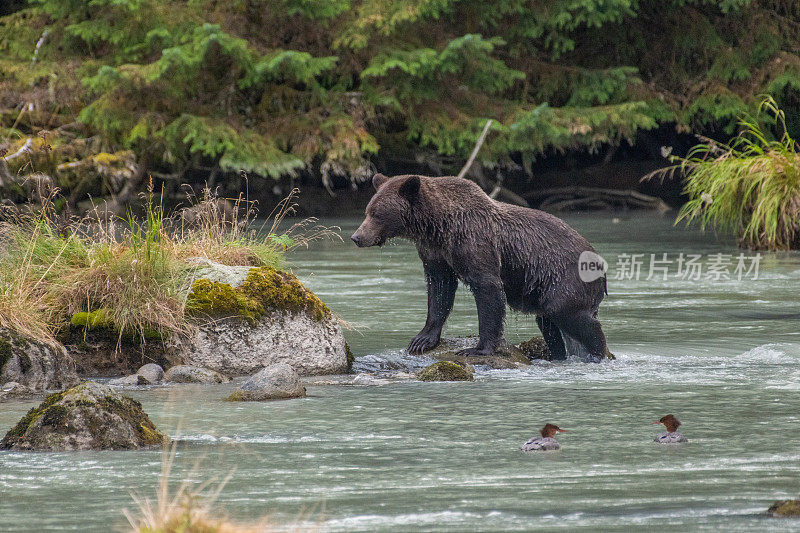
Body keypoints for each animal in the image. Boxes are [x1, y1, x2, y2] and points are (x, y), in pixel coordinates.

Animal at [354, 174, 608, 362]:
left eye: (376, 214)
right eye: (367, 211)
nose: (356, 237)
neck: (438, 227)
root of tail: (599, 262)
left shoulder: (474, 242)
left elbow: (488, 289)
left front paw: (477, 348)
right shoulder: (436, 254)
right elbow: (439, 291)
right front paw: (421, 340)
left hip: (565, 278)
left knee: (568, 313)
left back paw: (597, 353)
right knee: (548, 323)